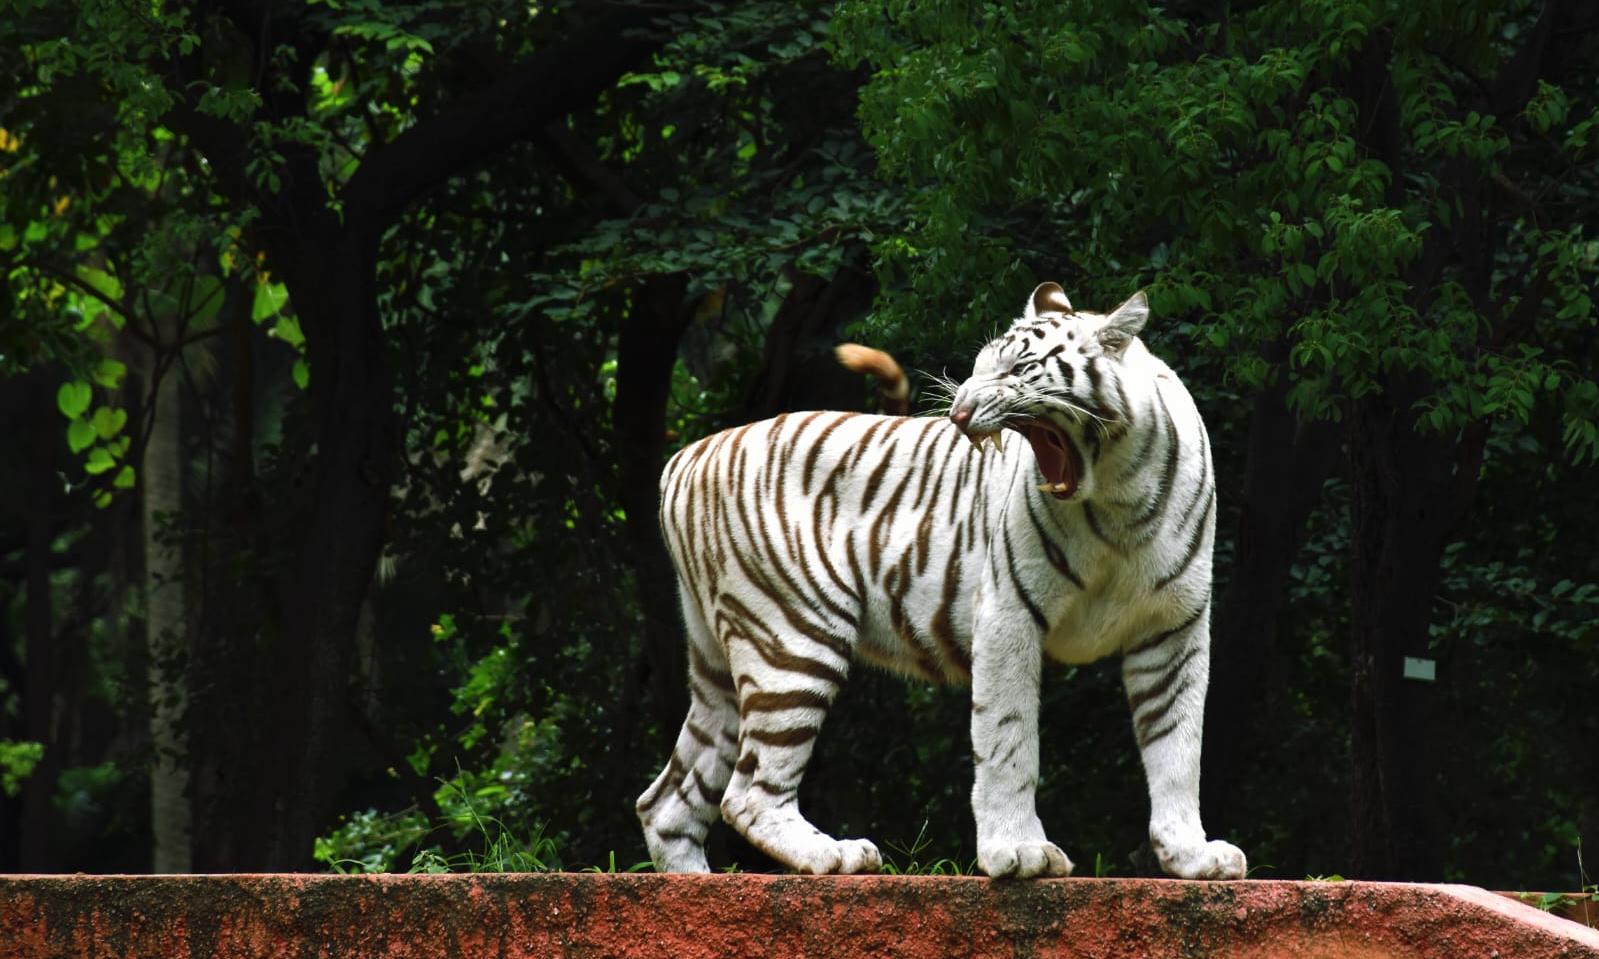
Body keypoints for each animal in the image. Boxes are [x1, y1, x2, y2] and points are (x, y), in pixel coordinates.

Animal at [636, 282, 1246, 880]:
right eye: (978, 367)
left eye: (1020, 369)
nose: (959, 410)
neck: (1120, 497)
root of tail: (685, 457)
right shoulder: (1009, 612)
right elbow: (1008, 739)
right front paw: (1018, 851)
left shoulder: (1174, 629)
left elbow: (1178, 747)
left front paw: (1192, 855)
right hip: (791, 637)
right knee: (747, 795)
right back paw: (835, 856)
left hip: (720, 659)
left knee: (666, 801)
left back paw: (692, 886)